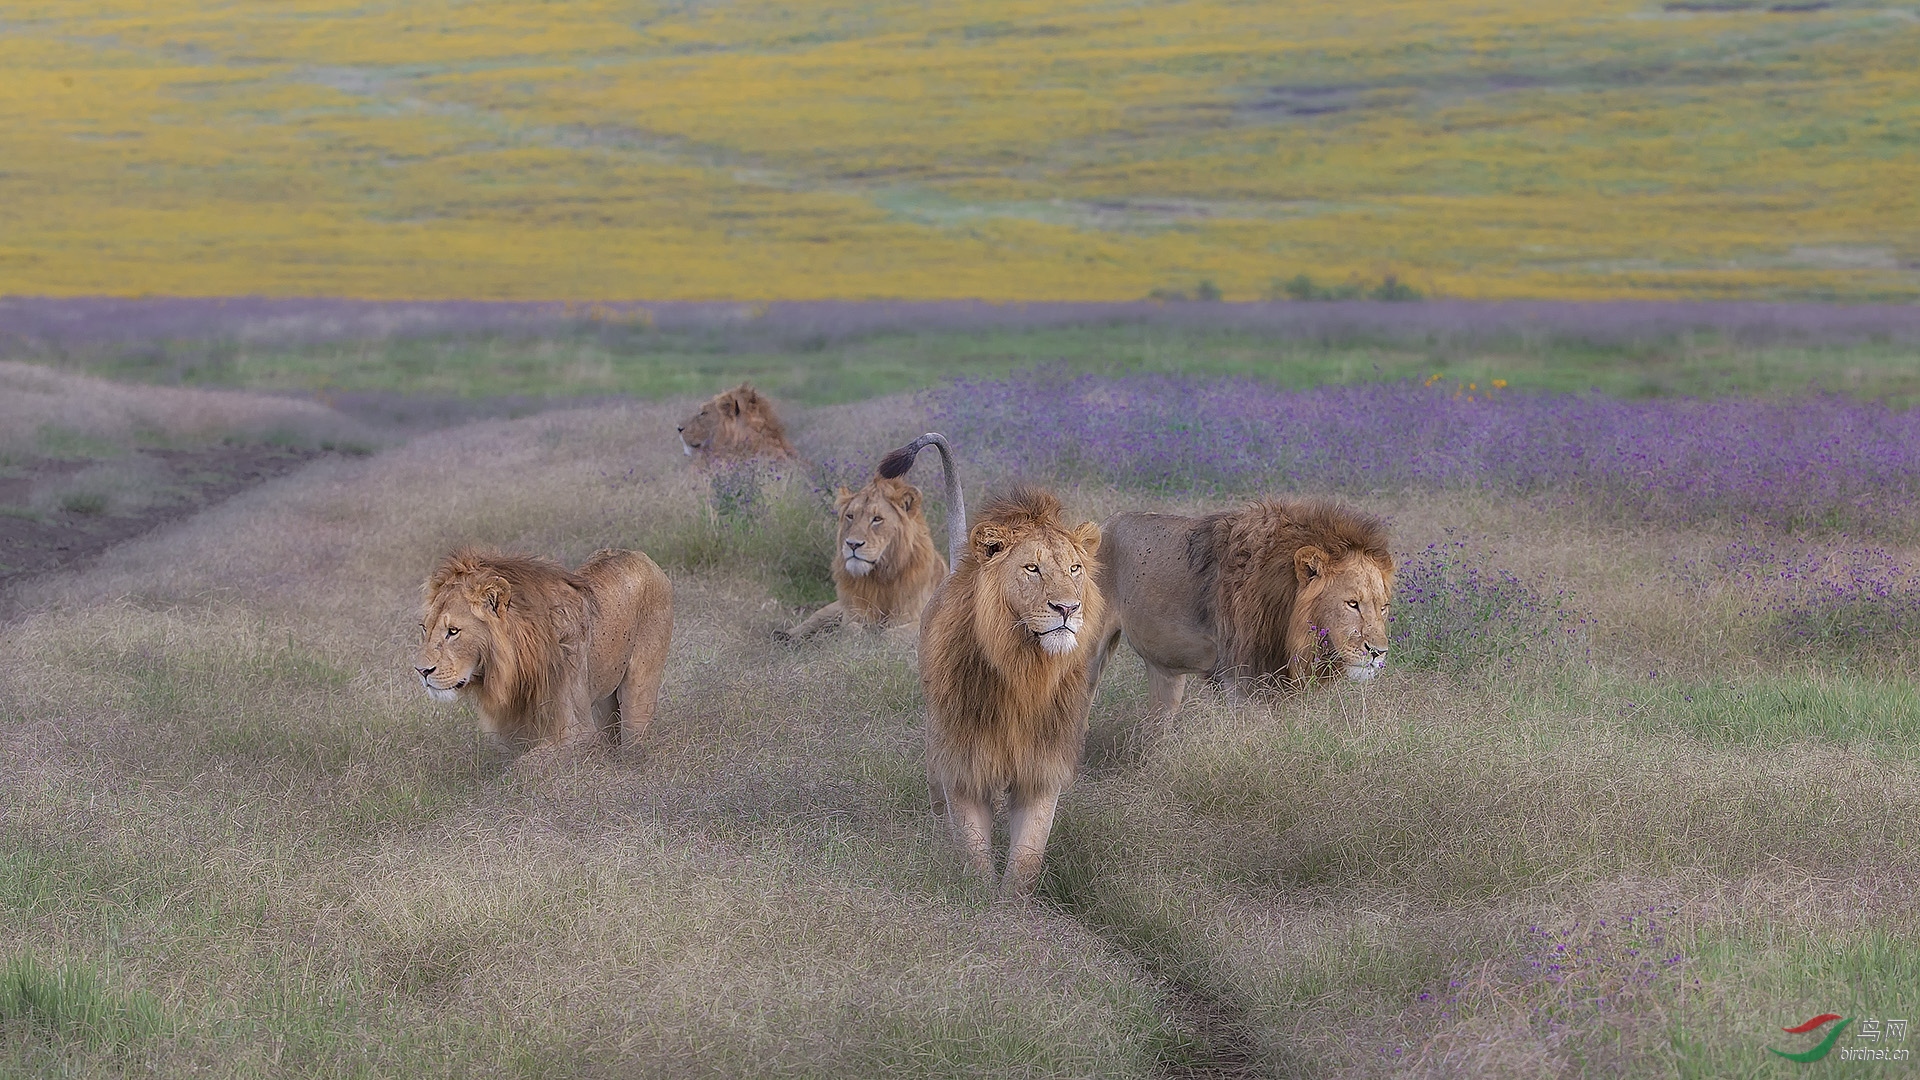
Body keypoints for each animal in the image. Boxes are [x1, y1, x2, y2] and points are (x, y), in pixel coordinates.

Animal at [414, 547, 674, 752]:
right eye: (424, 628)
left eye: (453, 631)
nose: (421, 671)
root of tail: (639, 555)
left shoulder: (577, 730)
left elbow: (522, 768)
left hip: (638, 693)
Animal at [779, 433, 968, 640]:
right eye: (850, 516)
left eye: (877, 519)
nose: (853, 544)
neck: (880, 578)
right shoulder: (852, 615)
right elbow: (852, 628)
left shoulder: (917, 619)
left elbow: (891, 634)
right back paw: (784, 635)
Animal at [917, 483, 1104, 895]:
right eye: (1032, 568)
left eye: (1075, 568)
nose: (1068, 608)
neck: (1024, 671)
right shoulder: (964, 760)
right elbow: (972, 845)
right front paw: (979, 898)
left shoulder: (1042, 764)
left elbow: (1028, 855)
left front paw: (1011, 904)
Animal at [1086, 499, 1393, 716]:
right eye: (1352, 604)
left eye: (1383, 608)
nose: (1378, 653)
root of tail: (1105, 523)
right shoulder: (1239, 680)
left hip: (1166, 672)